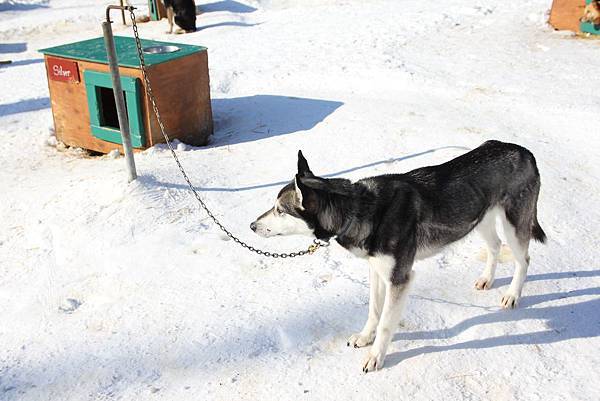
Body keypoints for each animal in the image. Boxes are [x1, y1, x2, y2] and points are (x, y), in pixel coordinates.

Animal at [251, 141, 548, 372]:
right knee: (495, 246)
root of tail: (525, 151)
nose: (252, 225)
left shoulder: (399, 278)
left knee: (523, 260)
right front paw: (364, 337)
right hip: (481, 221)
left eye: (279, 210)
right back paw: (487, 278)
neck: (359, 209)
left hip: (513, 226)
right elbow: (374, 311)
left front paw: (375, 357)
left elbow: (385, 323)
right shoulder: (377, 270)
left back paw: (512, 295)